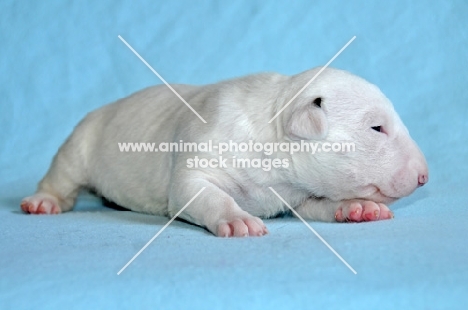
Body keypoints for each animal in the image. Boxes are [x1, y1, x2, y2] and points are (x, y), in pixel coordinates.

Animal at [21, 67, 428, 237]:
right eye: (377, 128)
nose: (425, 176)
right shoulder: (199, 160)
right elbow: (199, 192)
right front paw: (238, 220)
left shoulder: (299, 190)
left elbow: (318, 206)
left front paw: (357, 208)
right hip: (81, 142)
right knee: (61, 177)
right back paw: (43, 202)